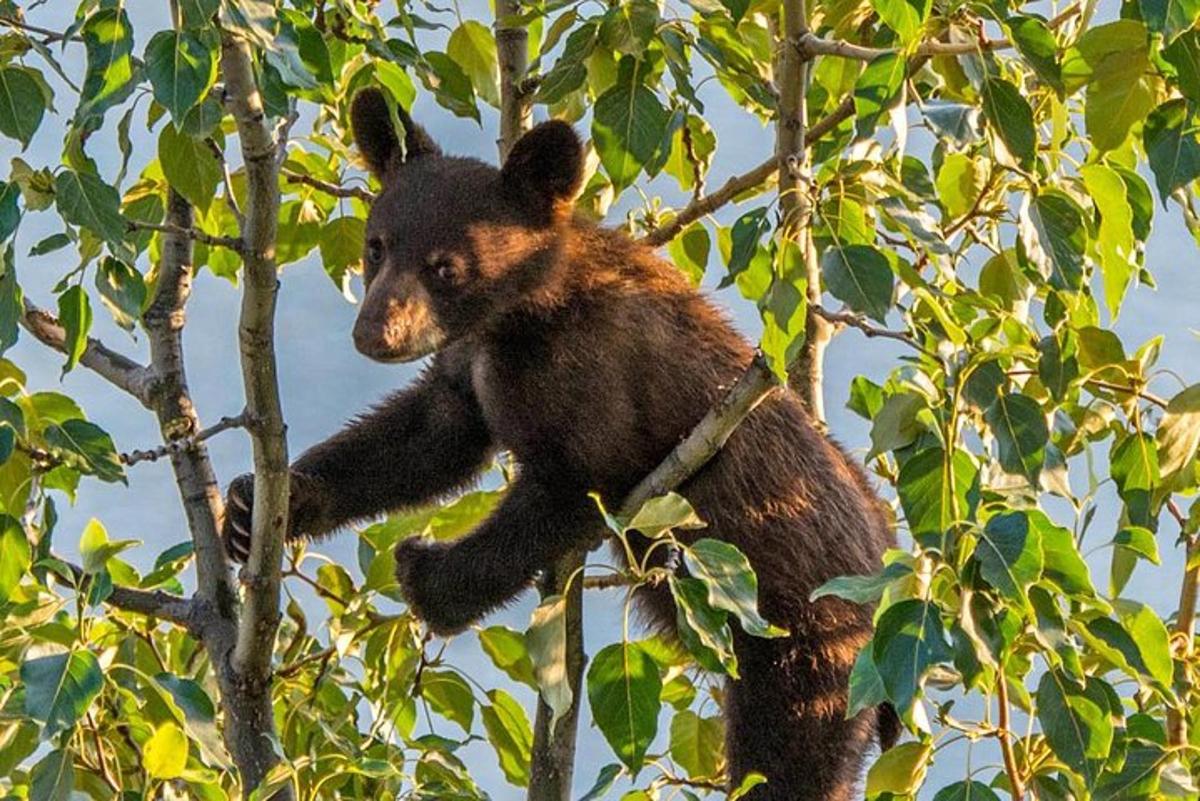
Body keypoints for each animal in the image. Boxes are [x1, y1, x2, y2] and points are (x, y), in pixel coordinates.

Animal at [222, 87, 897, 800]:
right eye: (377, 246)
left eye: (445, 266)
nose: (376, 332)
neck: (522, 316)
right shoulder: (470, 364)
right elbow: (427, 436)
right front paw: (265, 503)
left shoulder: (600, 378)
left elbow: (575, 487)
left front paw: (428, 576)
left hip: (808, 653)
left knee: (789, 758)